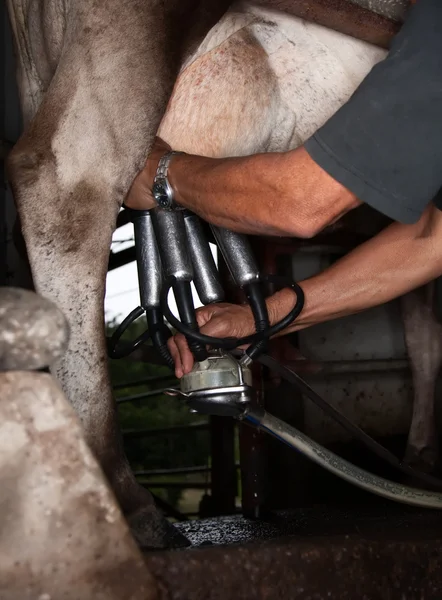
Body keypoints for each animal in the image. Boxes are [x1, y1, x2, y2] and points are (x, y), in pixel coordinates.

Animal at [7, 0, 438, 552]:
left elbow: (420, 321)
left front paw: (420, 455)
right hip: (128, 28)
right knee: (66, 183)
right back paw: (122, 496)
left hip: (39, 67)